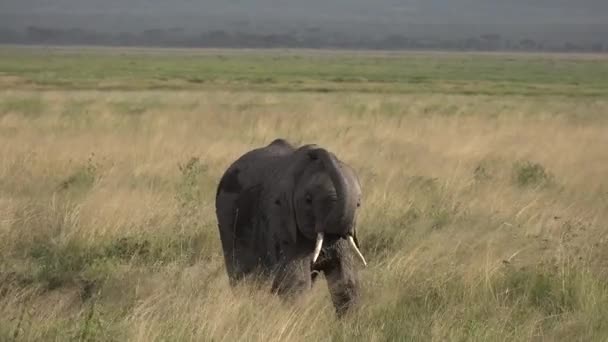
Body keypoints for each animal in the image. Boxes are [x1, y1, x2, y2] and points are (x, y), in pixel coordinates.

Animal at [214, 138, 366, 314]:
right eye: (308, 200)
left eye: (358, 203)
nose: (315, 151)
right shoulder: (281, 219)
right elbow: (295, 282)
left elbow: (346, 280)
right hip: (228, 221)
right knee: (243, 276)